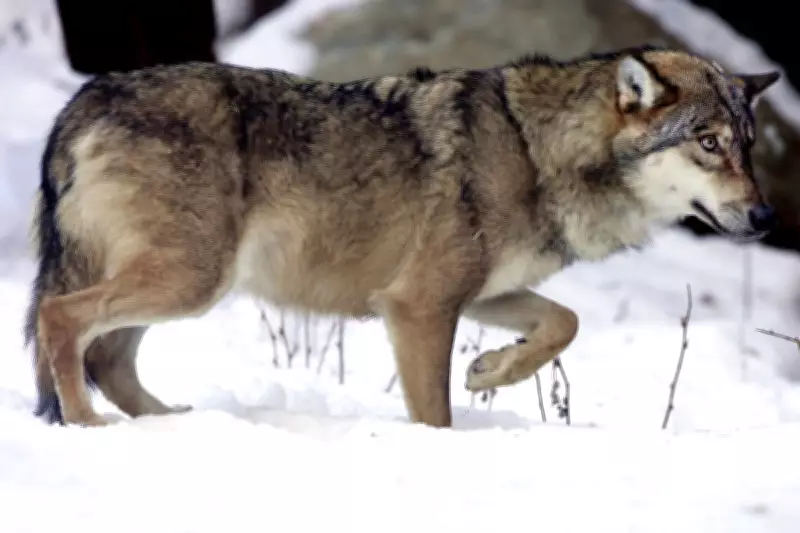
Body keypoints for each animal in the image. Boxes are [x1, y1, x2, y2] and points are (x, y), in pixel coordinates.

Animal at [24, 45, 780, 428]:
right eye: (708, 143)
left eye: (746, 144)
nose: (766, 218)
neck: (535, 149)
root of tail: (81, 99)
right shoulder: (419, 306)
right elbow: (435, 411)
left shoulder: (483, 293)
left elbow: (564, 321)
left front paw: (491, 369)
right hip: (189, 283)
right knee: (61, 320)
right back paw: (89, 423)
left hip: (183, 287)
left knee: (109, 358)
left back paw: (167, 422)